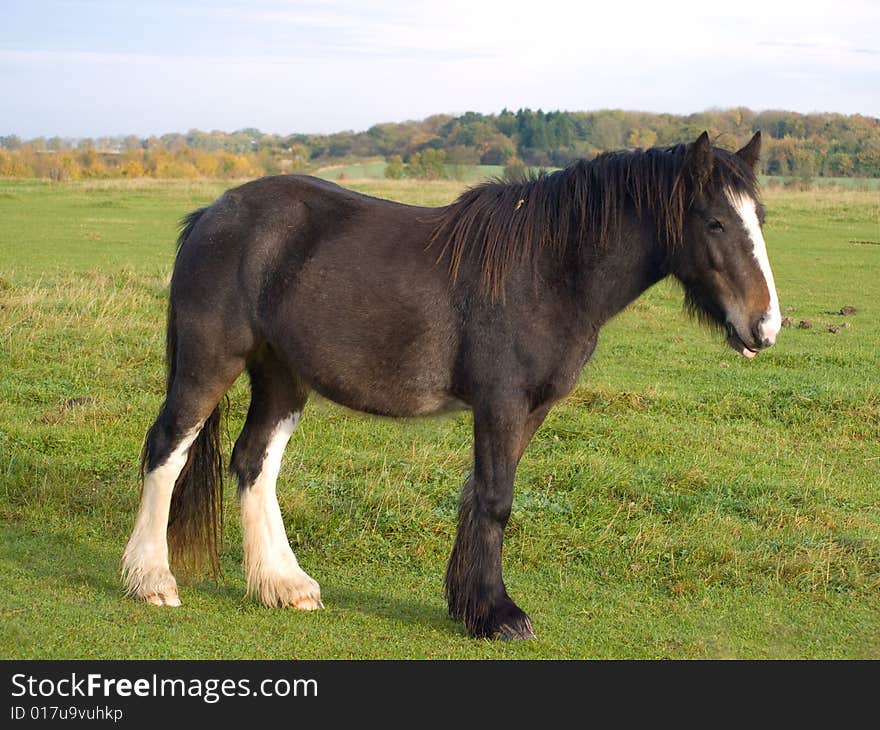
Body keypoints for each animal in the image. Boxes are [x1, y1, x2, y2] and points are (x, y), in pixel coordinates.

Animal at [122, 129, 776, 636]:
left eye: (760, 220)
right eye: (715, 222)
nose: (765, 326)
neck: (547, 270)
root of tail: (212, 214)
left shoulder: (528, 410)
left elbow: (482, 494)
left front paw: (473, 604)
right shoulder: (501, 403)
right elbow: (496, 499)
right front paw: (497, 615)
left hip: (282, 376)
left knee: (254, 462)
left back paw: (283, 584)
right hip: (209, 362)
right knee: (168, 449)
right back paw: (152, 579)